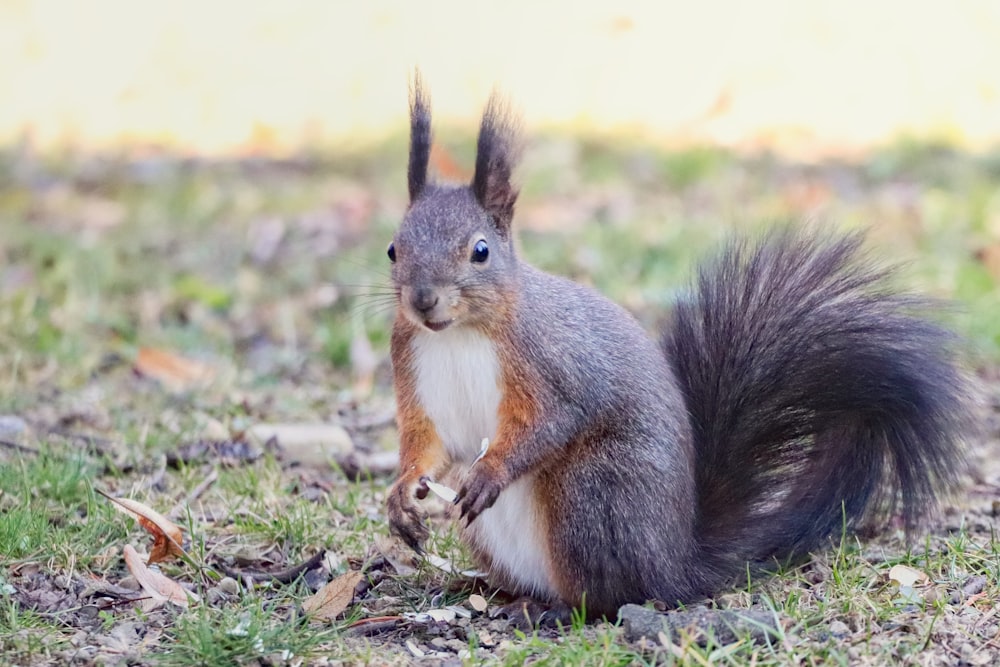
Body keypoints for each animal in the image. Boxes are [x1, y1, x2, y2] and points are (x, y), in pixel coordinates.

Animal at [382, 74, 968, 620]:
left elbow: (552, 419)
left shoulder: (553, 363)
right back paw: (493, 591)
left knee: (610, 595)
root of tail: (676, 563)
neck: (459, 334)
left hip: (592, 496)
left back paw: (554, 608)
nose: (424, 300)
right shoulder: (416, 374)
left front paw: (491, 472)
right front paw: (402, 495)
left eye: (480, 251)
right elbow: (431, 444)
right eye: (392, 249)